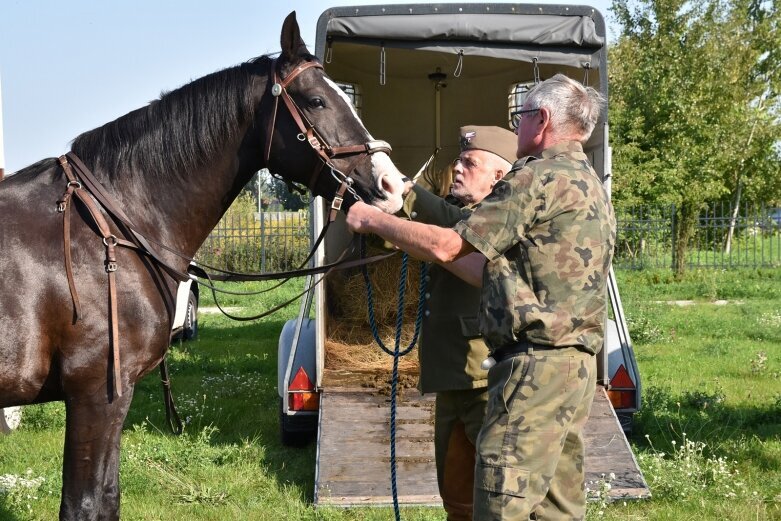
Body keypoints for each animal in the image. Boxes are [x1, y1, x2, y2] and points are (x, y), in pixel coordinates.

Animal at [0, 12, 406, 520]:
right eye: (317, 100)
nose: (393, 185)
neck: (109, 232)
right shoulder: (95, 395)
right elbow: (86, 504)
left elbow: (108, 499)